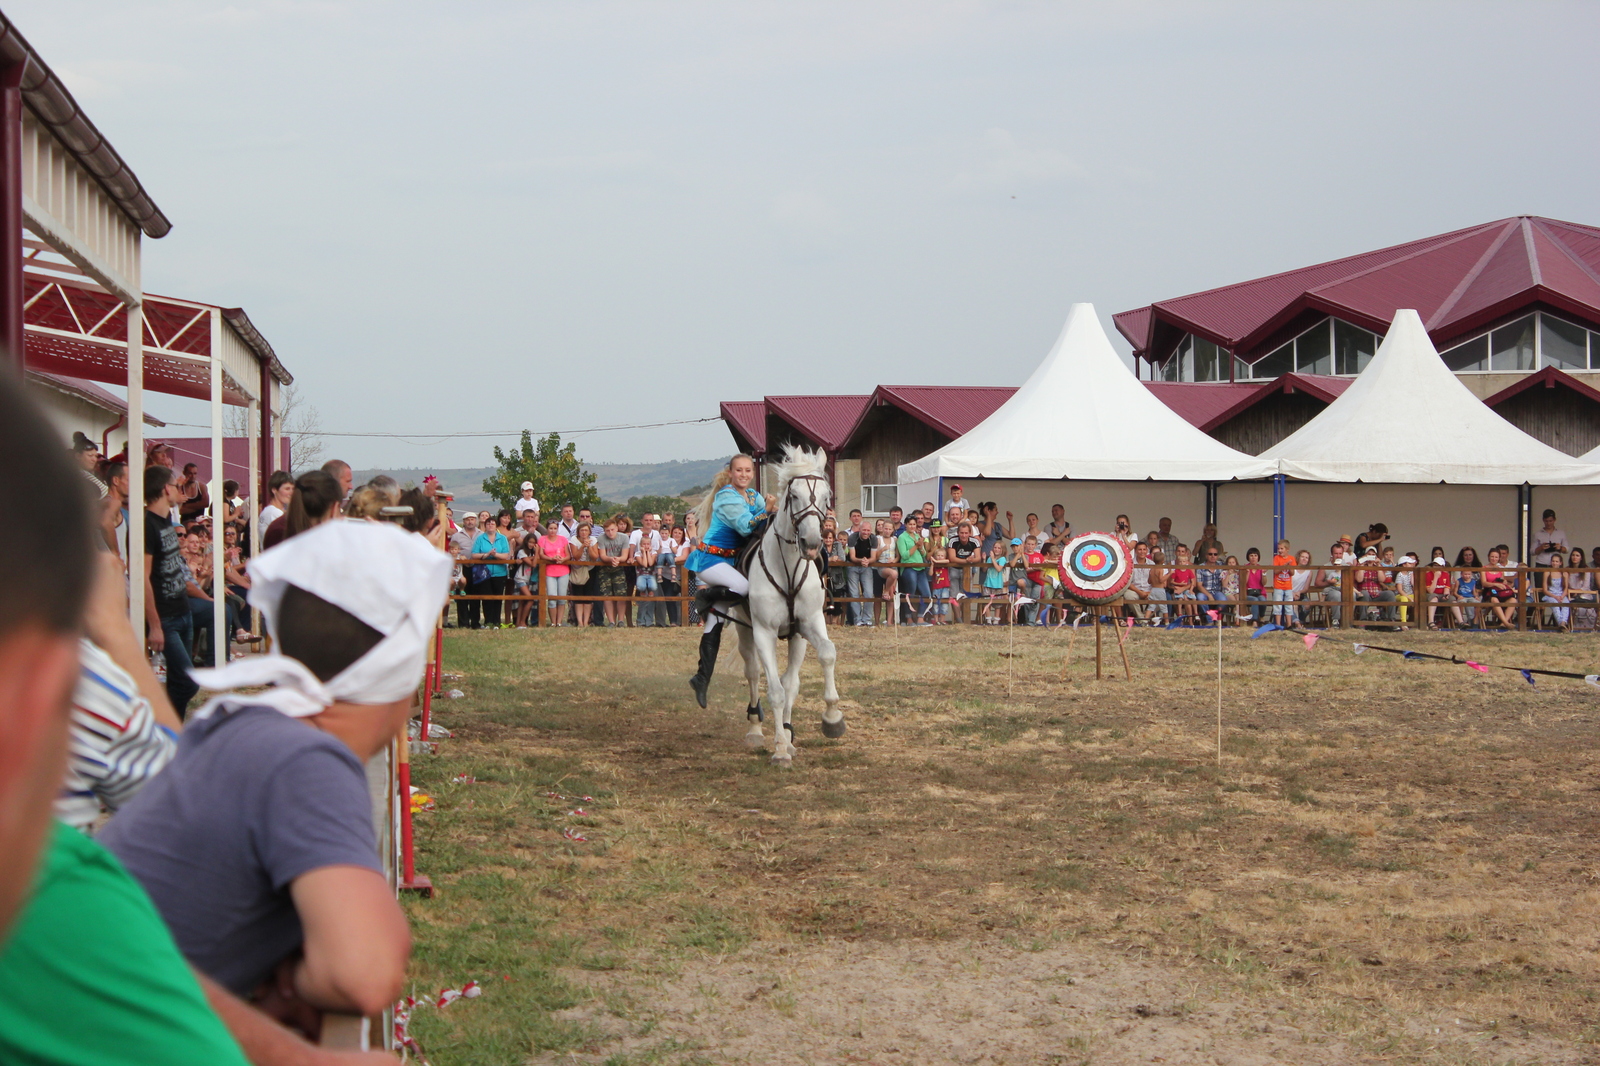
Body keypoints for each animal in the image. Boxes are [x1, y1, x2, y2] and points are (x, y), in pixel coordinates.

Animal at [729, 444, 844, 758]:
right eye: (793, 496)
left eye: (827, 496)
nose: (812, 543)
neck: (788, 570)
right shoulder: (764, 632)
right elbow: (775, 691)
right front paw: (780, 748)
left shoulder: (807, 626)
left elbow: (823, 657)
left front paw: (832, 718)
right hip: (744, 627)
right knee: (753, 673)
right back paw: (755, 730)